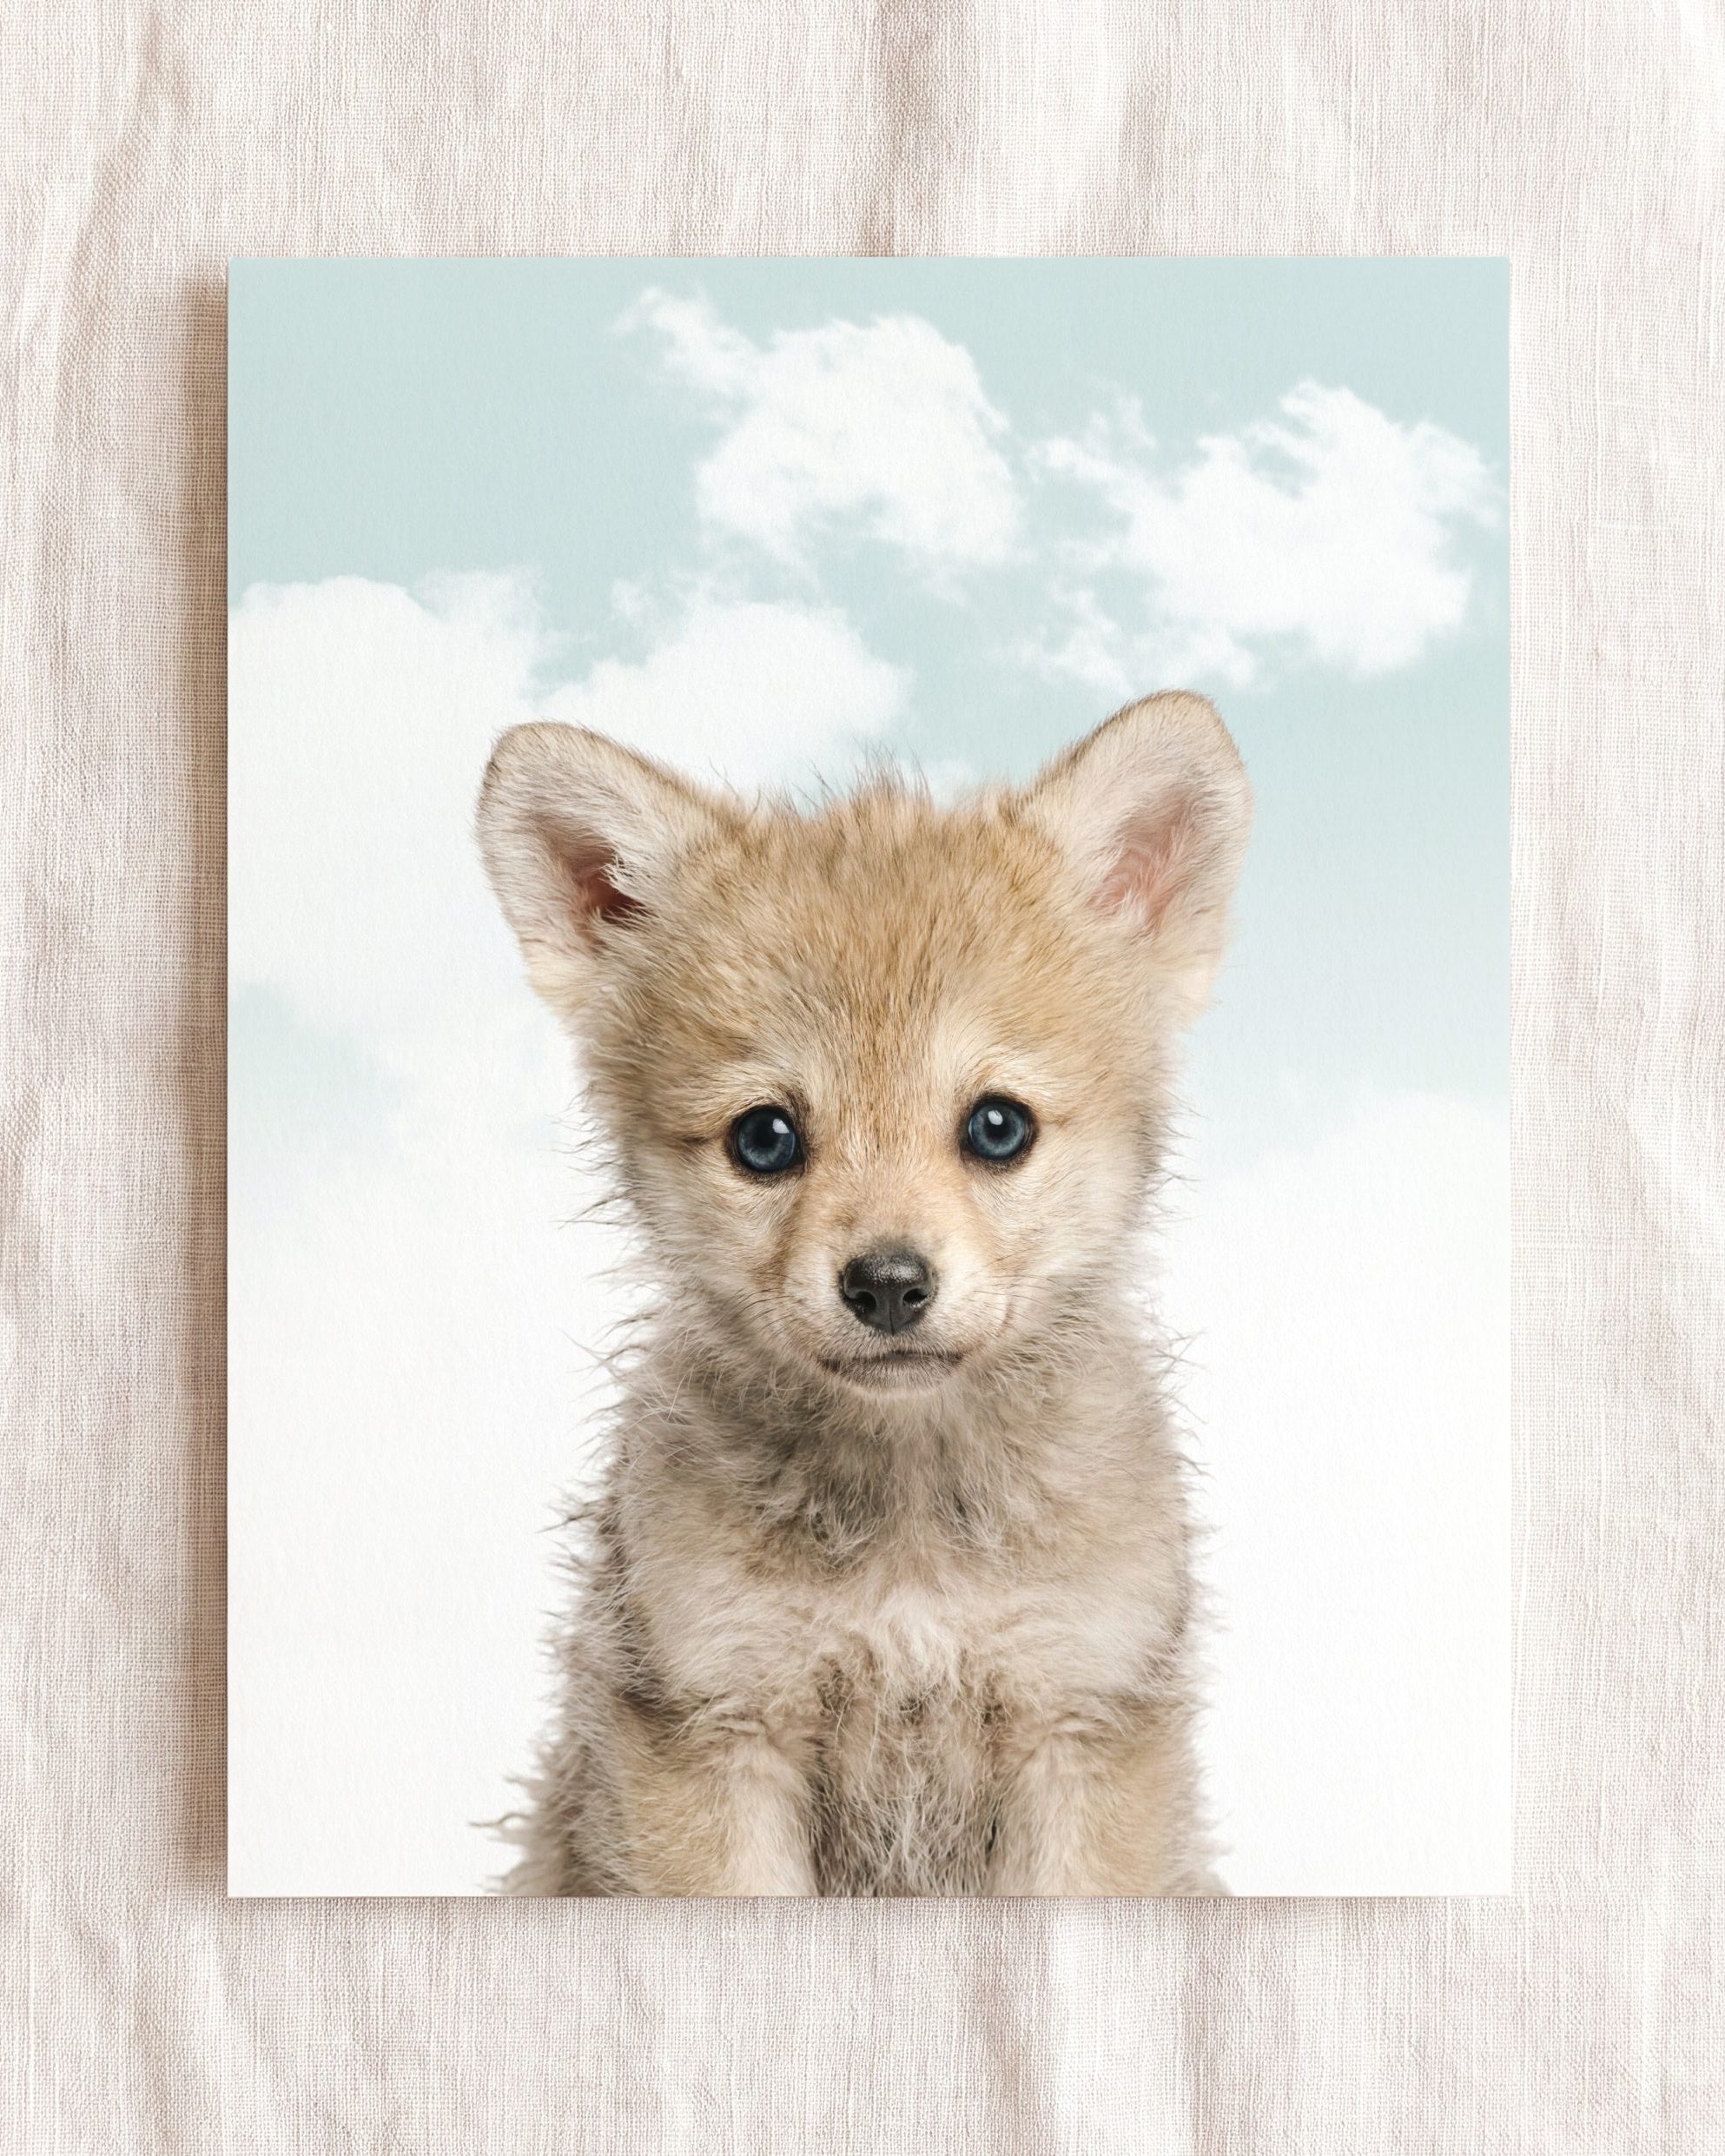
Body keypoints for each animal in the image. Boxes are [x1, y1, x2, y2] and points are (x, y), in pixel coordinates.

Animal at [477, 691, 1251, 1895]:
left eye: (997, 1126)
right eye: (764, 1138)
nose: (887, 1284)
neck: (910, 1531)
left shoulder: (1080, 1721)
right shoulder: (715, 1724)